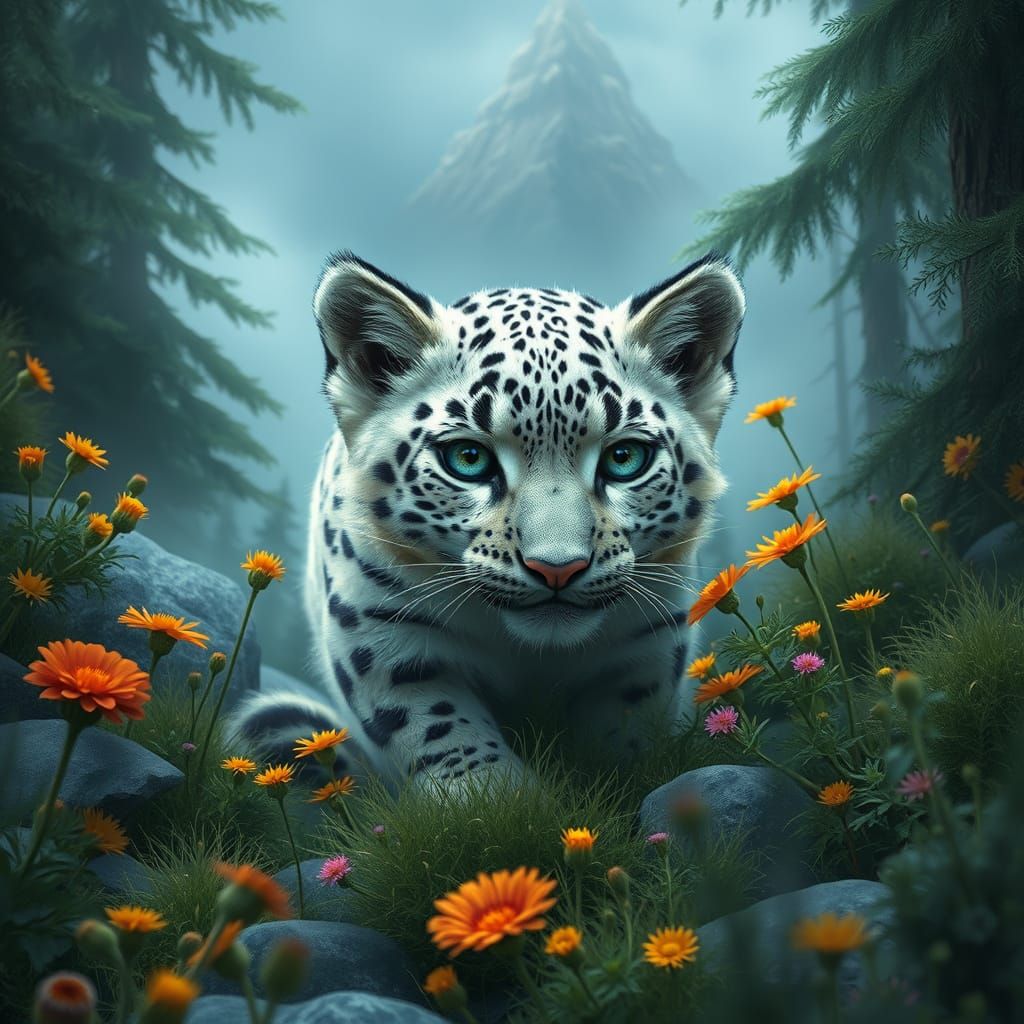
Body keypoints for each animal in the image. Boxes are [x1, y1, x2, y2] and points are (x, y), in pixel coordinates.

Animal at [235, 250, 746, 794]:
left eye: (625, 458)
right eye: (468, 458)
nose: (558, 568)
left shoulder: (646, 644)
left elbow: (624, 734)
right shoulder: (381, 631)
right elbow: (440, 729)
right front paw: (496, 799)